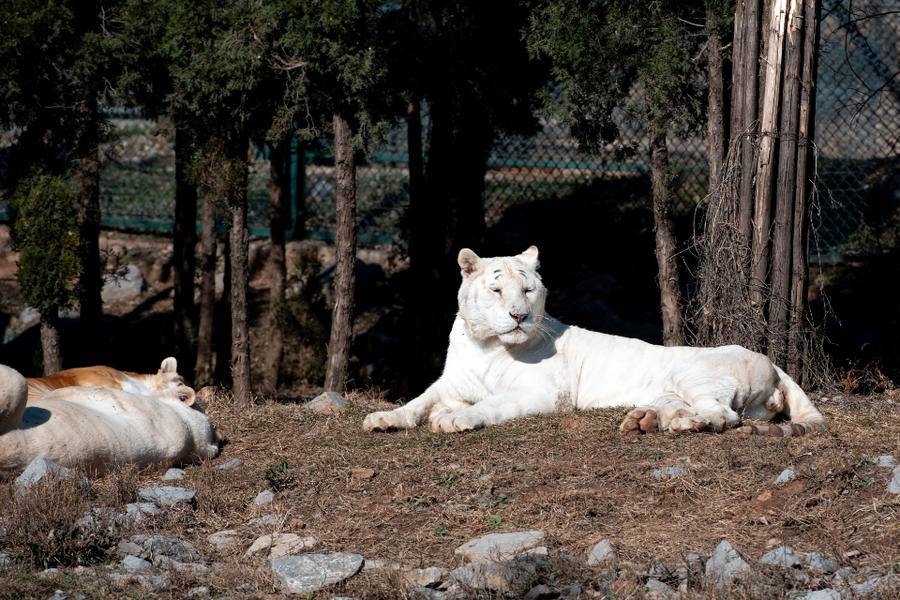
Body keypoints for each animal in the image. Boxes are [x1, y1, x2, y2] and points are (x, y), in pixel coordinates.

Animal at [362, 244, 828, 436]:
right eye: (497, 290)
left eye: (527, 289)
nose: (519, 316)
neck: (487, 345)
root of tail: (773, 363)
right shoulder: (449, 384)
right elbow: (417, 402)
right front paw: (383, 419)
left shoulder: (543, 393)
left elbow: (493, 404)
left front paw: (457, 420)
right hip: (671, 388)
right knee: (686, 409)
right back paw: (646, 421)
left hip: (694, 374)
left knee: (723, 415)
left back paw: (684, 425)